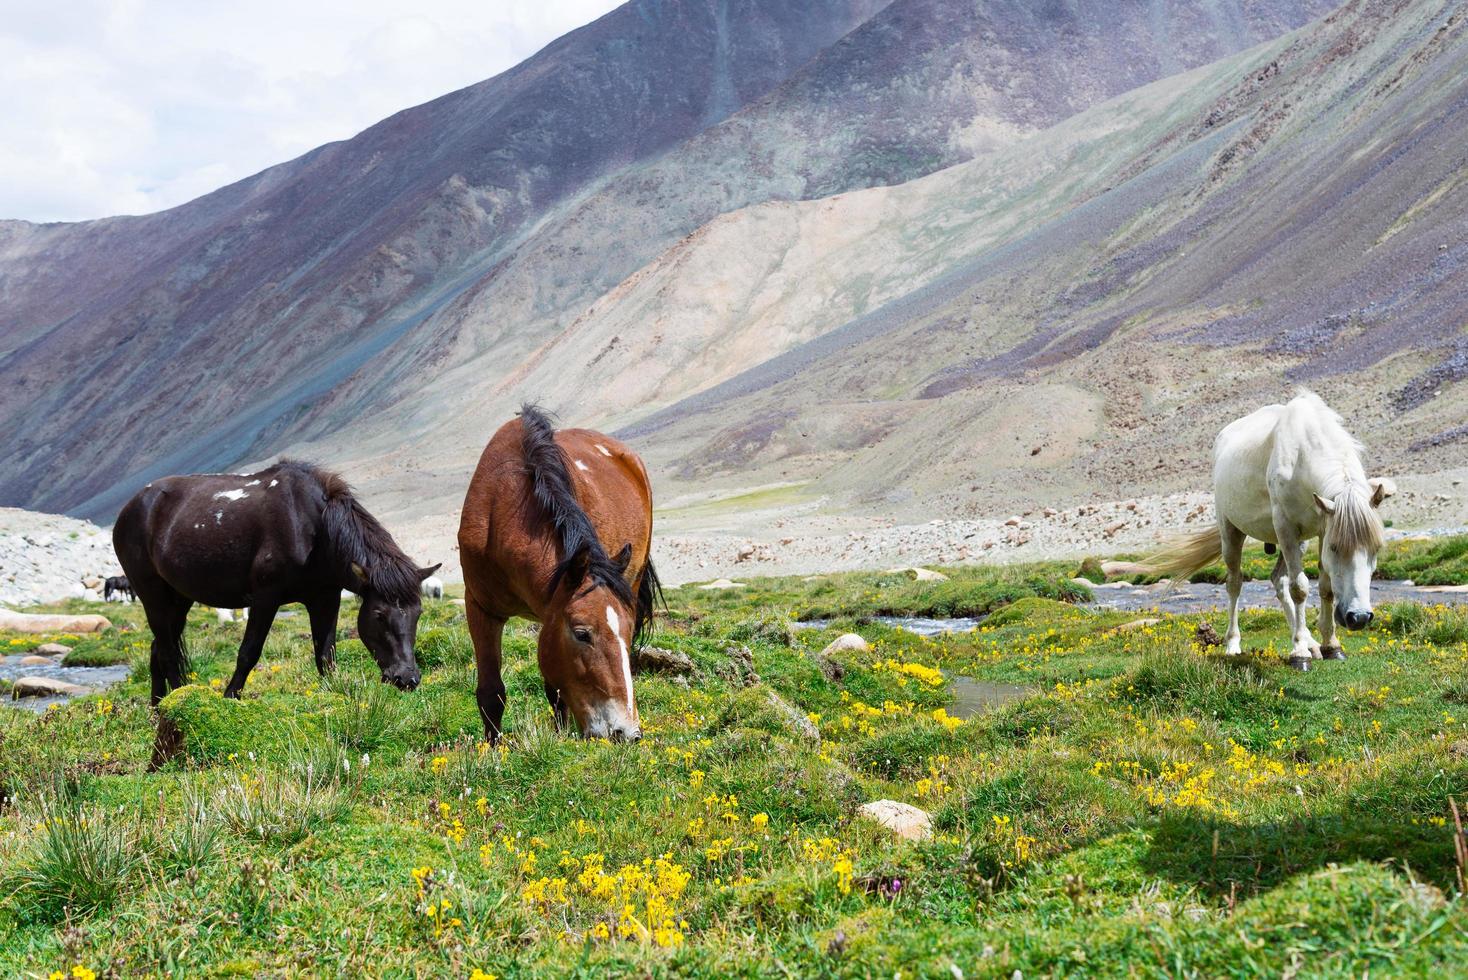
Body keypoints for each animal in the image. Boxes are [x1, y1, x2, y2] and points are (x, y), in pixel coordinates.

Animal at [115, 460, 437, 704]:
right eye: (379, 615)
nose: (407, 678)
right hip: (152, 596)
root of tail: (130, 507)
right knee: (167, 651)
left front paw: (332, 694)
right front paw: (230, 697)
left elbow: (326, 653)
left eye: (418, 613)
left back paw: (157, 708)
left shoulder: (325, 599)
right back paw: (178, 697)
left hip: (179, 599)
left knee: (158, 648)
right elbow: (249, 652)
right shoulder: (265, 598)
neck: (314, 530)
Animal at [460, 404, 663, 742]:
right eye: (582, 633)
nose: (626, 732)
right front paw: (492, 749)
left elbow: (555, 691)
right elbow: (491, 693)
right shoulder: (480, 607)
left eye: (626, 629)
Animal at [1150, 393, 1391, 668]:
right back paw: (1234, 644)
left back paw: (1312, 643)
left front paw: (1331, 645)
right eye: (1335, 547)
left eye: (1376, 548)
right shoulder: (1286, 527)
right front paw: (1299, 653)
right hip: (1232, 532)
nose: (1358, 617)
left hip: (1299, 541)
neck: (1302, 454)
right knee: (1235, 583)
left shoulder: (1322, 528)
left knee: (1278, 580)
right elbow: (1300, 588)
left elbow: (1325, 586)